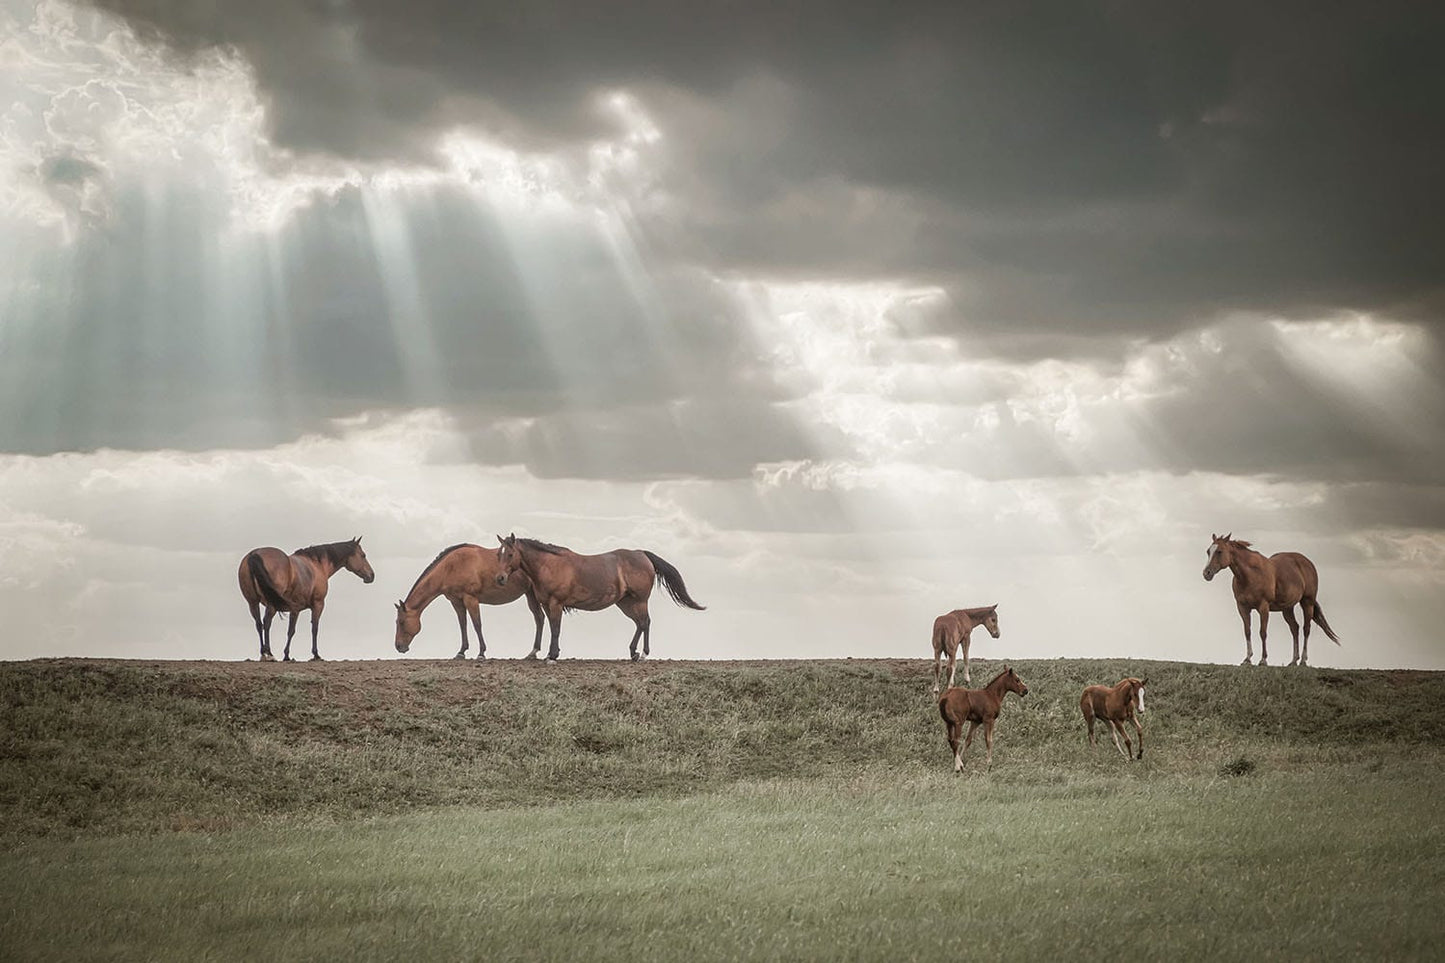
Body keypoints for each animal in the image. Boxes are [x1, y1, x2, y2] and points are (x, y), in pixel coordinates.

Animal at [238, 536, 375, 662]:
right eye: (363, 555)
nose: (371, 575)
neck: (317, 565)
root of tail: (254, 554)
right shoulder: (317, 605)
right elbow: (312, 628)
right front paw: (314, 654)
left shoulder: (295, 609)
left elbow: (291, 630)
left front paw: (287, 655)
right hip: (271, 604)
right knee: (266, 623)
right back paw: (269, 654)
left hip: (252, 603)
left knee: (258, 624)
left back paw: (263, 653)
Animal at [393, 543, 544, 660]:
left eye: (401, 622)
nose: (398, 646)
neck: (450, 567)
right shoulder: (456, 602)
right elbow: (463, 624)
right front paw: (461, 652)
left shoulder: (470, 599)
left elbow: (477, 624)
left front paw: (481, 653)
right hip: (530, 594)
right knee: (539, 618)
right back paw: (533, 652)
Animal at [495, 534, 705, 662]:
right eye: (499, 554)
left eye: (510, 553)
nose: (500, 578)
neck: (549, 565)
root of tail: (642, 554)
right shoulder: (547, 604)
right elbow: (549, 626)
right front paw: (548, 654)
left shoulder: (556, 603)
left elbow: (556, 628)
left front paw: (552, 656)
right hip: (626, 602)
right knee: (639, 623)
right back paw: (633, 652)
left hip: (639, 600)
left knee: (645, 622)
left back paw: (643, 654)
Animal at [1203, 533, 1340, 666]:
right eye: (1208, 551)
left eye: (1219, 551)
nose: (1206, 573)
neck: (1250, 575)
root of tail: (1308, 563)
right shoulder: (1243, 608)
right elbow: (1247, 631)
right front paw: (1247, 659)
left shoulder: (1263, 607)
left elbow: (1263, 632)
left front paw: (1263, 660)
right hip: (1287, 609)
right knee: (1295, 628)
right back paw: (1293, 660)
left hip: (1307, 603)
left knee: (1306, 629)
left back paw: (1302, 660)